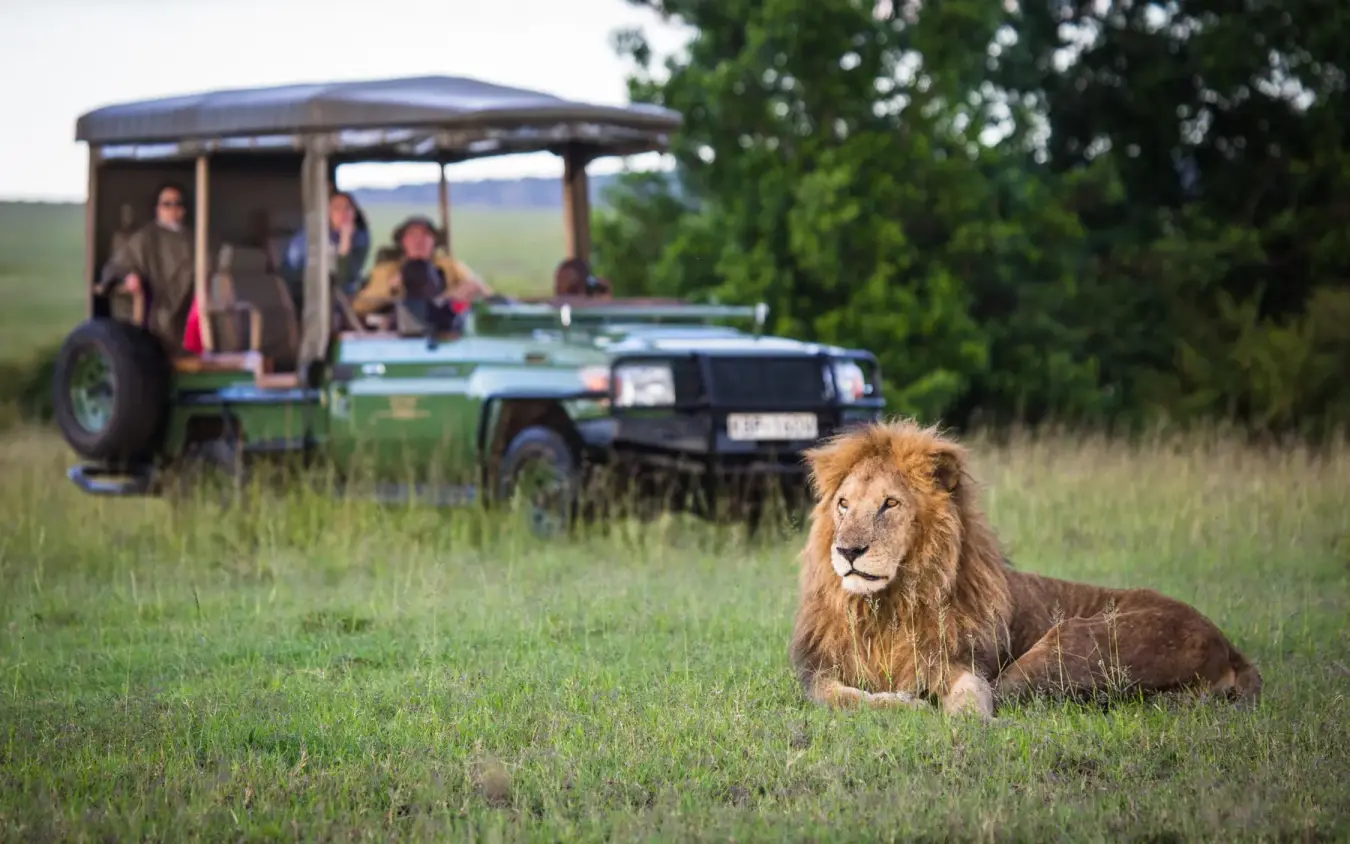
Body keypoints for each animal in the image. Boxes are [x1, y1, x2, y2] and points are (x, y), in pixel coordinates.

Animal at [788, 418, 1262, 720]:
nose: (848, 551)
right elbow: (840, 697)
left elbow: (970, 696)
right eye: (843, 504)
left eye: (889, 504)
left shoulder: (960, 661)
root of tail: (1228, 646)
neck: (889, 607)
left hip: (1072, 642)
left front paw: (963, 717)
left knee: (1013, 693)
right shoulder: (818, 672)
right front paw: (906, 702)